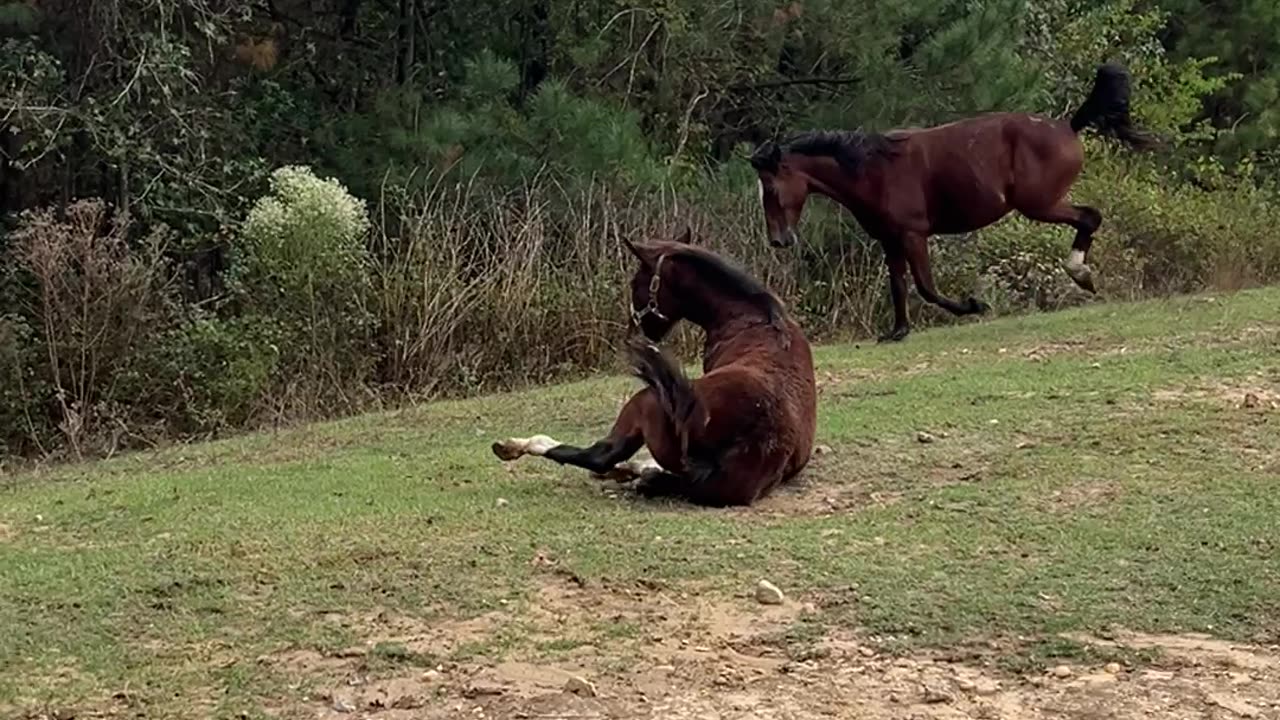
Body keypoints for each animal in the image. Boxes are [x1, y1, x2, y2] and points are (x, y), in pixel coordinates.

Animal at [491, 228, 817, 508]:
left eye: (636, 282)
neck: (752, 317)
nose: (634, 329)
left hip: (642, 403)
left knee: (602, 455)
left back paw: (516, 446)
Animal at [749, 63, 1155, 342]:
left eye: (772, 190)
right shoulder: (891, 240)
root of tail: (1067, 126)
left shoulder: (913, 235)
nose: (778, 240)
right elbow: (898, 285)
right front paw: (897, 332)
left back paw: (1080, 273)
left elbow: (926, 287)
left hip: (1039, 204)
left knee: (1089, 218)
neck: (873, 169)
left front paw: (974, 305)